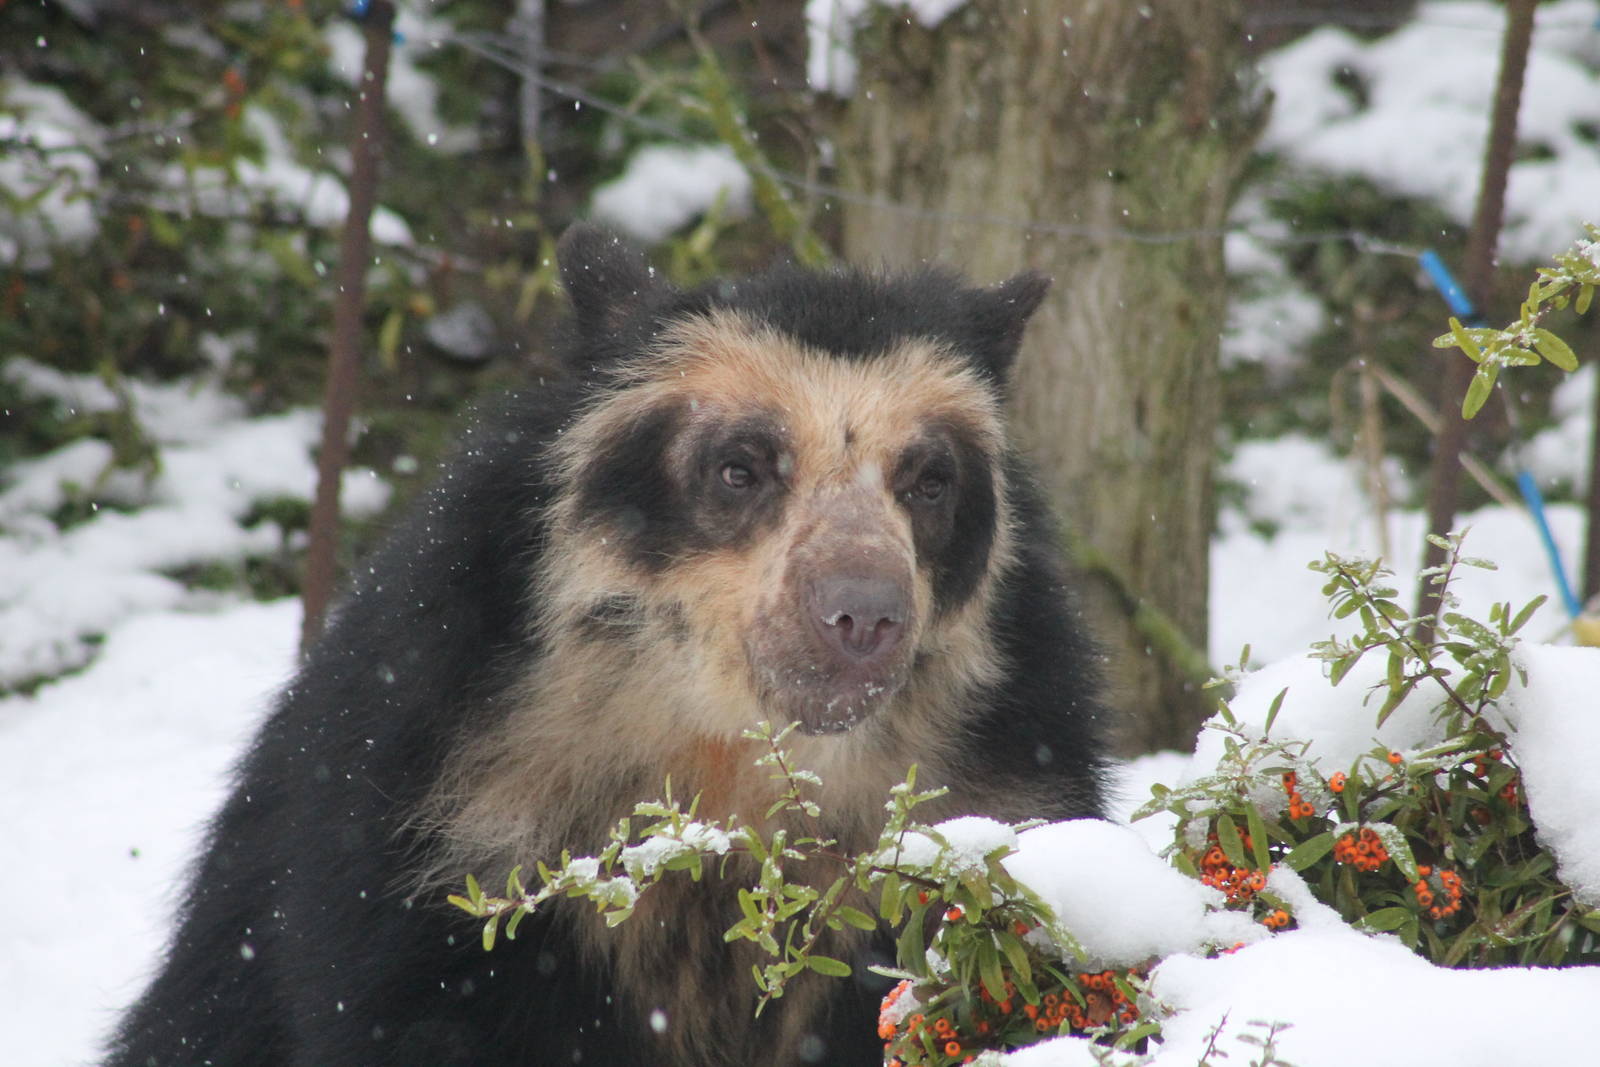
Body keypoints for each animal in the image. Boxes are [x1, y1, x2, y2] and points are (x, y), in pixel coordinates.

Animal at [106, 225, 1109, 1067]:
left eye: (930, 481)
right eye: (739, 467)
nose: (863, 616)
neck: (725, 756)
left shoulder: (988, 803)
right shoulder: (445, 828)